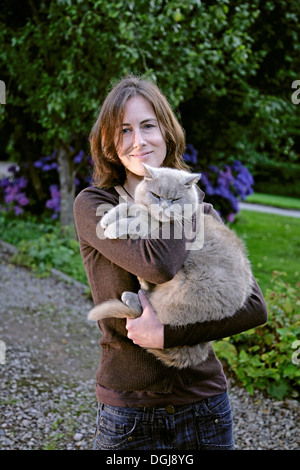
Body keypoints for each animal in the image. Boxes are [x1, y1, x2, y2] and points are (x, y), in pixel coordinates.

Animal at [89, 163, 253, 370]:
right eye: (156, 195)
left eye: (175, 199)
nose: (164, 206)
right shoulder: (141, 207)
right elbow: (129, 205)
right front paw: (107, 218)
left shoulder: (151, 227)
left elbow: (135, 222)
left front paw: (112, 228)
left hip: (182, 293)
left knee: (154, 311)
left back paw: (132, 297)